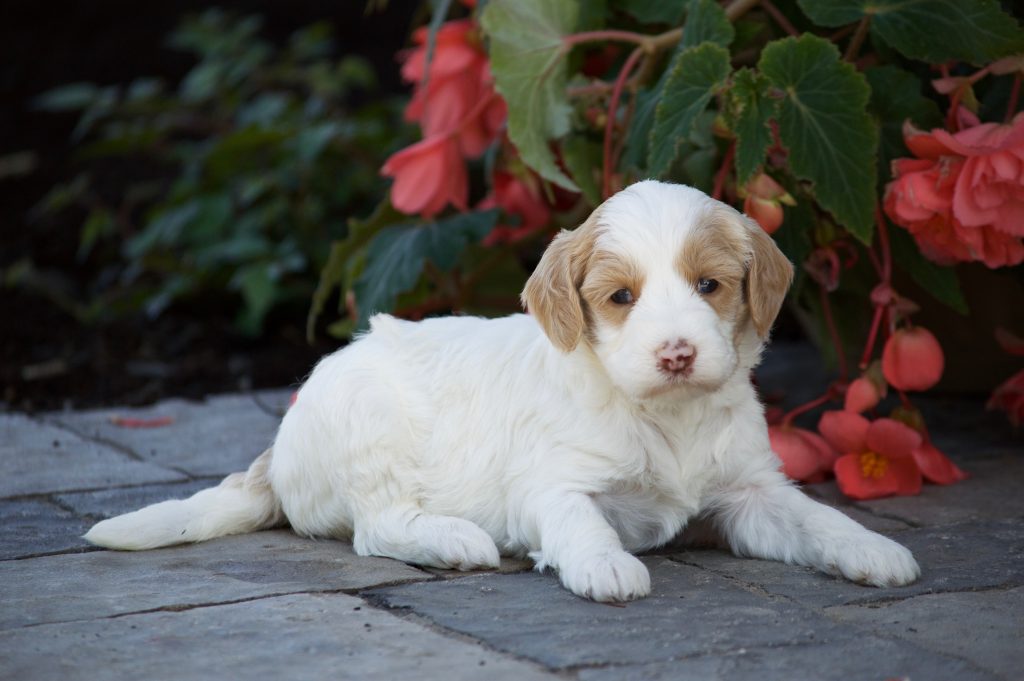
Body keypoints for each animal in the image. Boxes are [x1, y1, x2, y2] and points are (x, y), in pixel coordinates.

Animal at [88, 180, 921, 602]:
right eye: (621, 297)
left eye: (710, 285)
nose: (678, 352)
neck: (665, 415)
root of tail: (280, 442)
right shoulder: (552, 483)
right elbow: (580, 520)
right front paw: (606, 565)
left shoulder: (749, 491)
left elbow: (814, 517)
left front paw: (873, 547)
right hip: (370, 425)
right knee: (375, 528)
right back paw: (455, 540)